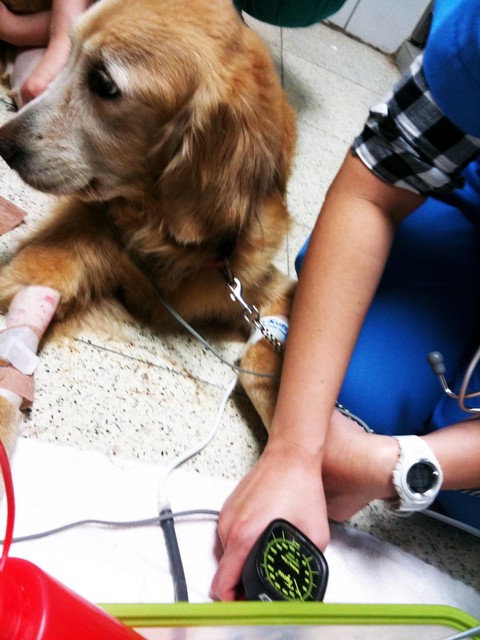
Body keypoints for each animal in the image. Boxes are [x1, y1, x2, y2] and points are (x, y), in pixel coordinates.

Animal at [0, 0, 296, 453]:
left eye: (103, 83)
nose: (2, 145)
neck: (167, 239)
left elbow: (261, 358)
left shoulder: (265, 289)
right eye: (71, 53)